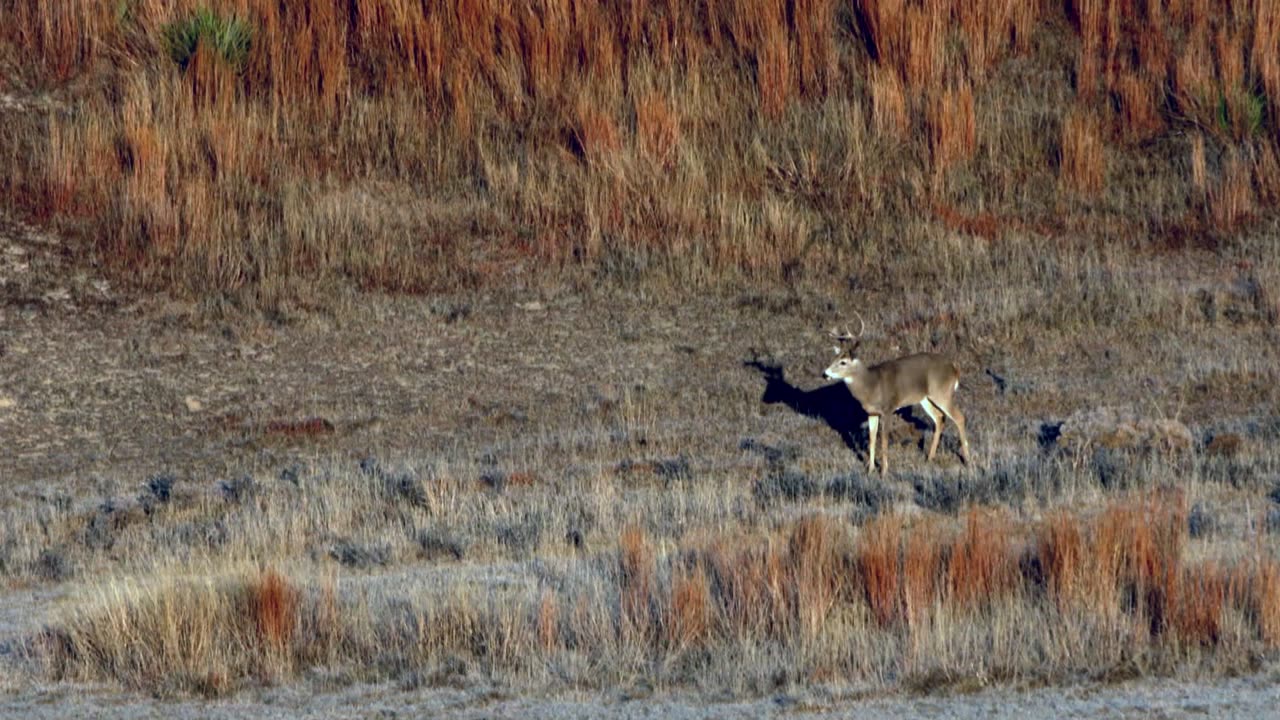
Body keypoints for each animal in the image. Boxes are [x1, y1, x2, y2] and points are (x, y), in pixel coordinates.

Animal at [829, 312, 967, 471]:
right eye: (834, 359)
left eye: (843, 362)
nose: (825, 373)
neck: (871, 385)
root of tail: (954, 368)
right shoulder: (872, 413)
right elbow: (872, 439)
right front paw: (870, 470)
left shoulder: (888, 409)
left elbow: (884, 440)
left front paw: (884, 471)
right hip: (926, 399)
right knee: (939, 418)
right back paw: (929, 459)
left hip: (943, 393)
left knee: (959, 417)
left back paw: (968, 460)